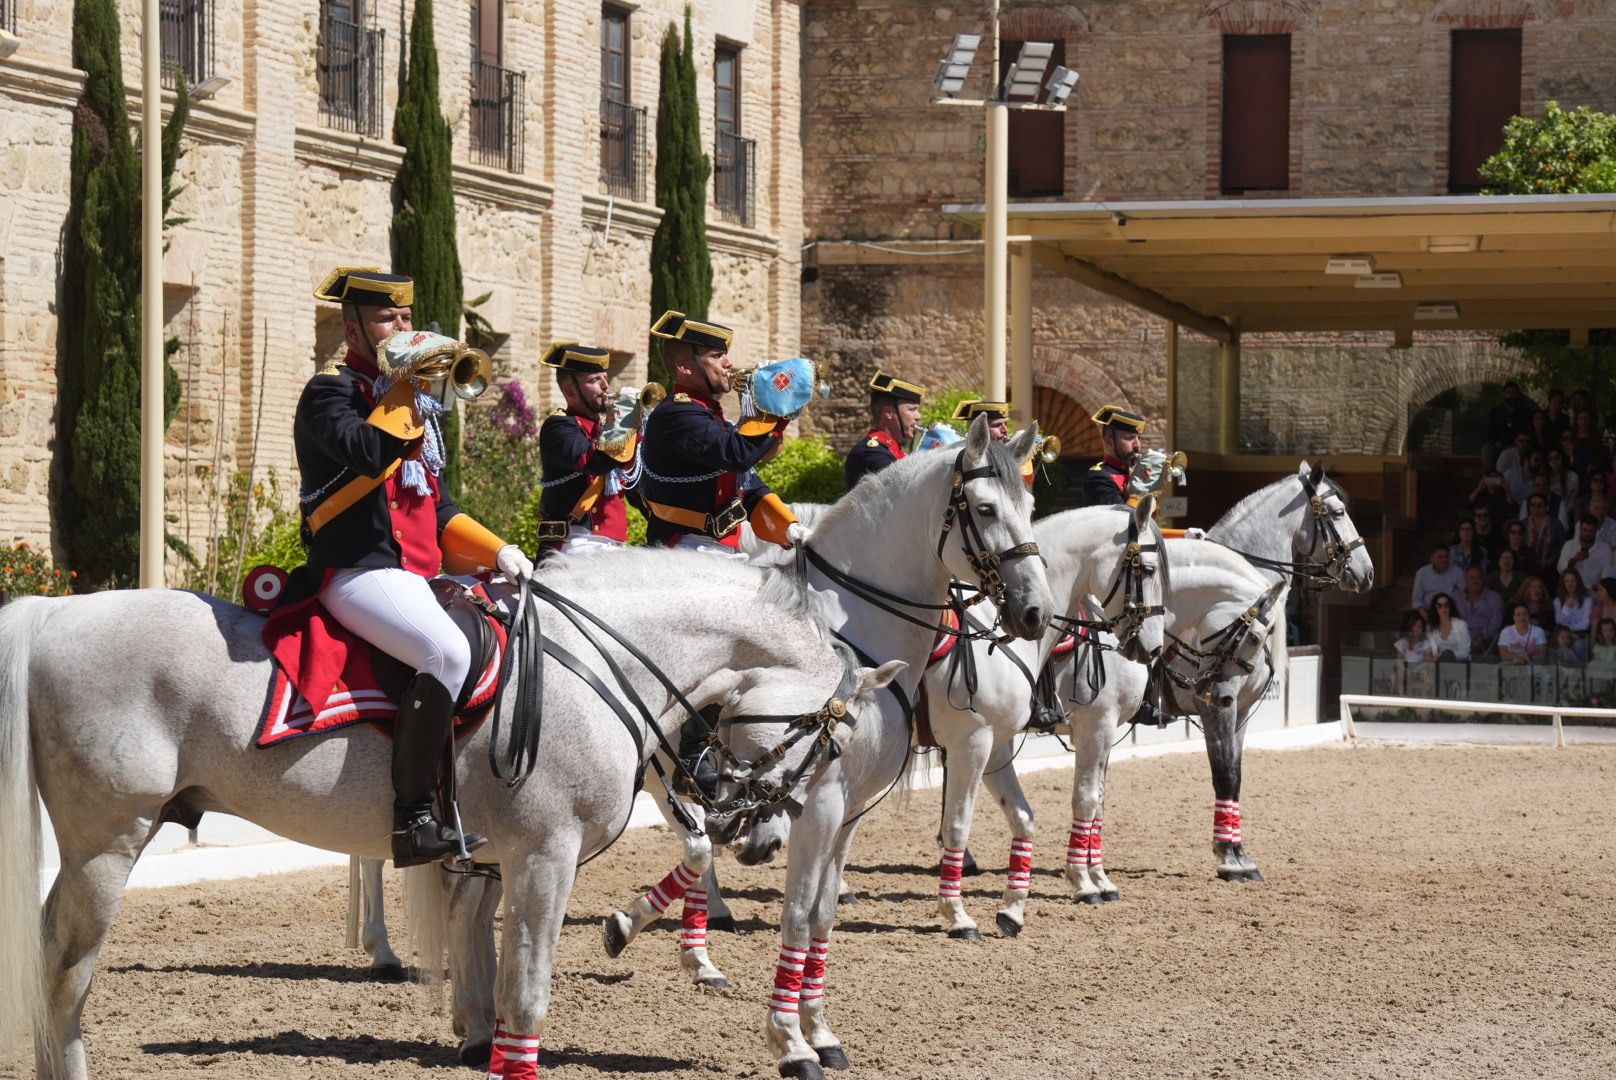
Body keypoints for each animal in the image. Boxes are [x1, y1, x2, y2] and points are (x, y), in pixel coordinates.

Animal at [0, 552, 898, 1080]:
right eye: (825, 736)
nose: (767, 833)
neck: (596, 658)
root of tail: (57, 610)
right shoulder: (543, 855)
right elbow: (525, 991)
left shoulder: (504, 853)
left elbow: (494, 963)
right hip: (108, 842)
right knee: (66, 969)